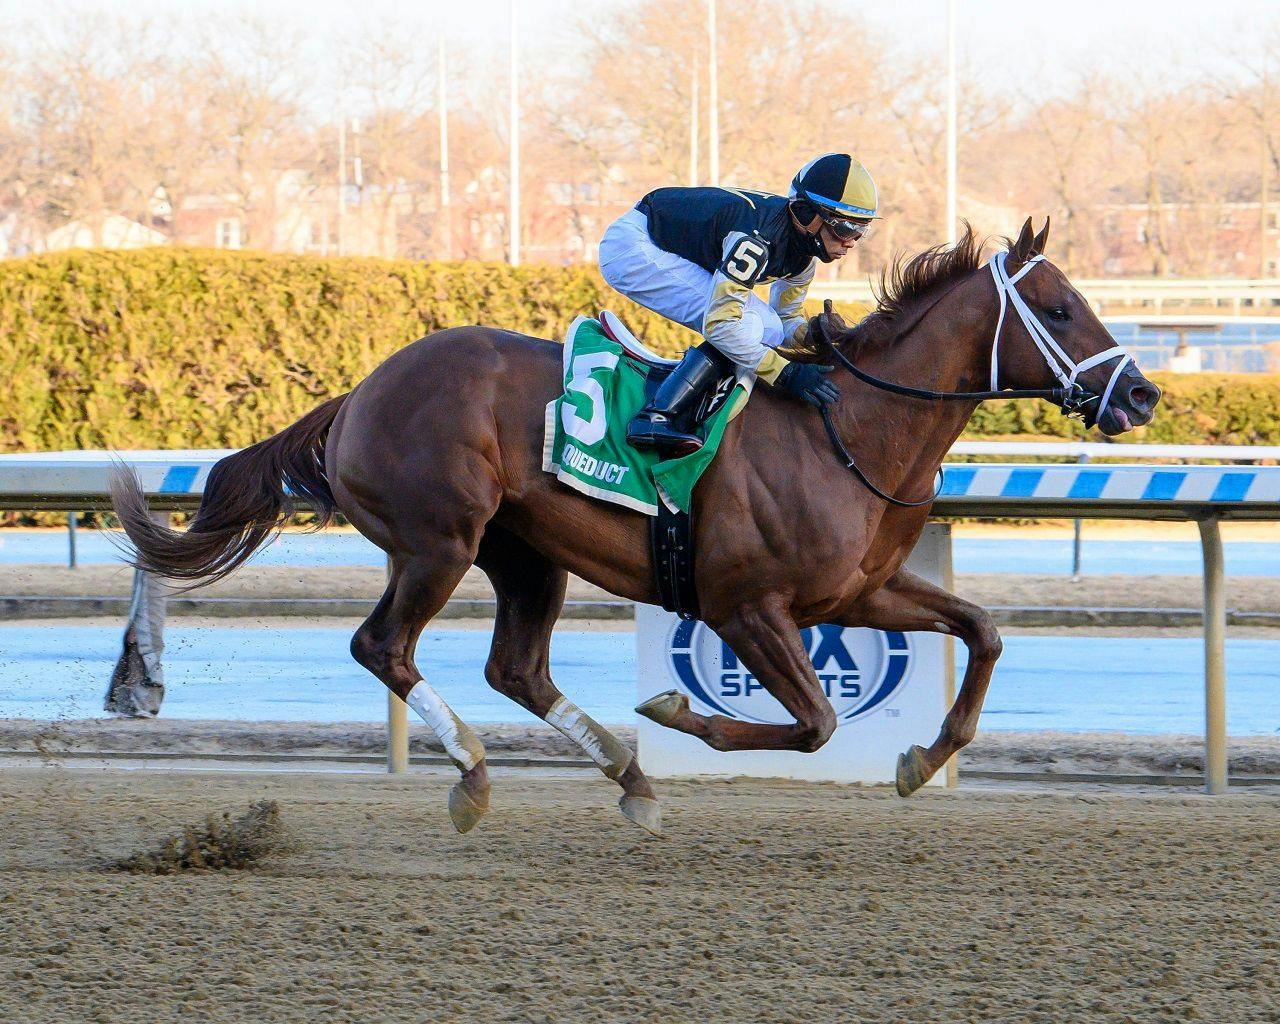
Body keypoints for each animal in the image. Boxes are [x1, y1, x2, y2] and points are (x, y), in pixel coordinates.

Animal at [115, 216, 1162, 829]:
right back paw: (479, 773)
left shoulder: (855, 594)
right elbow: (816, 722)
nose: (1143, 394)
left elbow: (981, 631)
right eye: (1060, 306)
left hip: (526, 556)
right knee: (384, 648)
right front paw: (673, 712)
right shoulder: (748, 606)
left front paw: (924, 756)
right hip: (438, 542)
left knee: (516, 669)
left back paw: (627, 774)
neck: (846, 429)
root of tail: (361, 391)